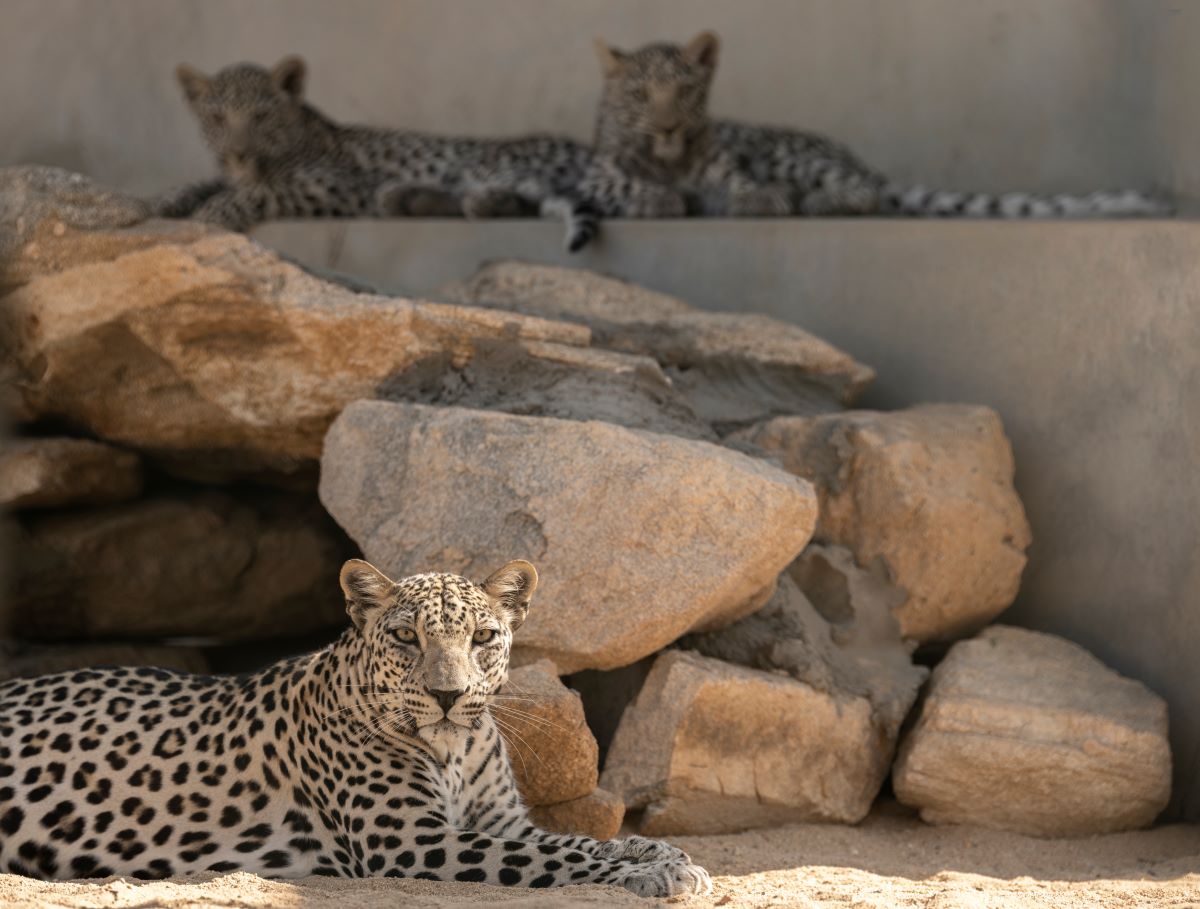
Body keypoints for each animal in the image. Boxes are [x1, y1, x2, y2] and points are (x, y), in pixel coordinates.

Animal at [0, 563, 710, 897]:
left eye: (483, 637)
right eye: (405, 637)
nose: (447, 695)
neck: (455, 748)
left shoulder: (502, 820)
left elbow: (581, 841)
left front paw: (664, 856)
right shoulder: (413, 843)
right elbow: (557, 857)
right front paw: (661, 872)